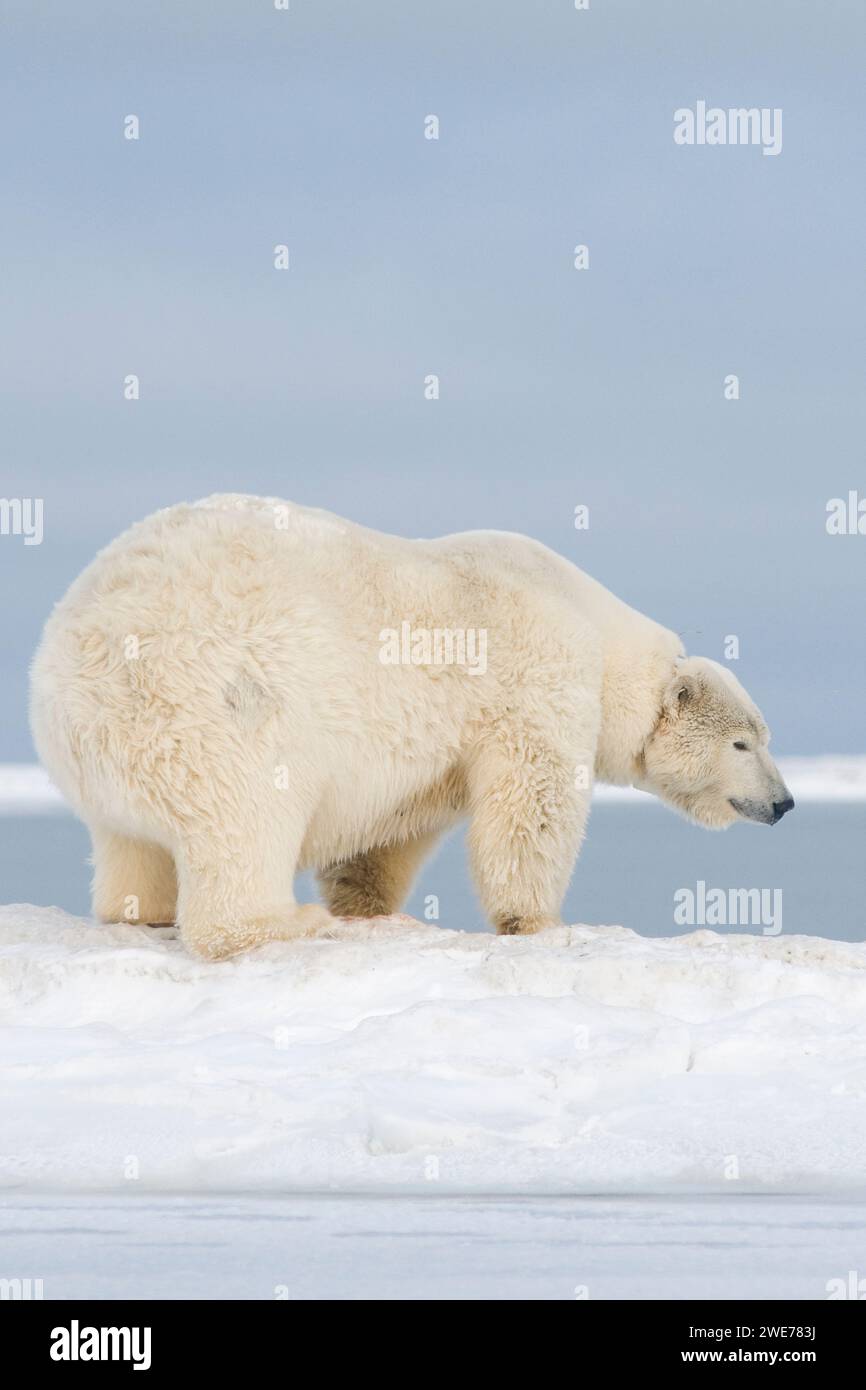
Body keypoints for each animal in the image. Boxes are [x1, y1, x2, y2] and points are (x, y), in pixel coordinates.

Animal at [30, 492, 795, 956]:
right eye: (743, 741)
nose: (786, 802)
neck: (597, 630)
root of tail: (78, 658)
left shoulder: (435, 749)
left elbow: (393, 828)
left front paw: (367, 903)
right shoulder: (537, 677)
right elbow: (531, 806)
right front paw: (542, 922)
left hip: (112, 750)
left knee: (130, 845)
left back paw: (143, 909)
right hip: (221, 702)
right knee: (245, 818)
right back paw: (284, 923)